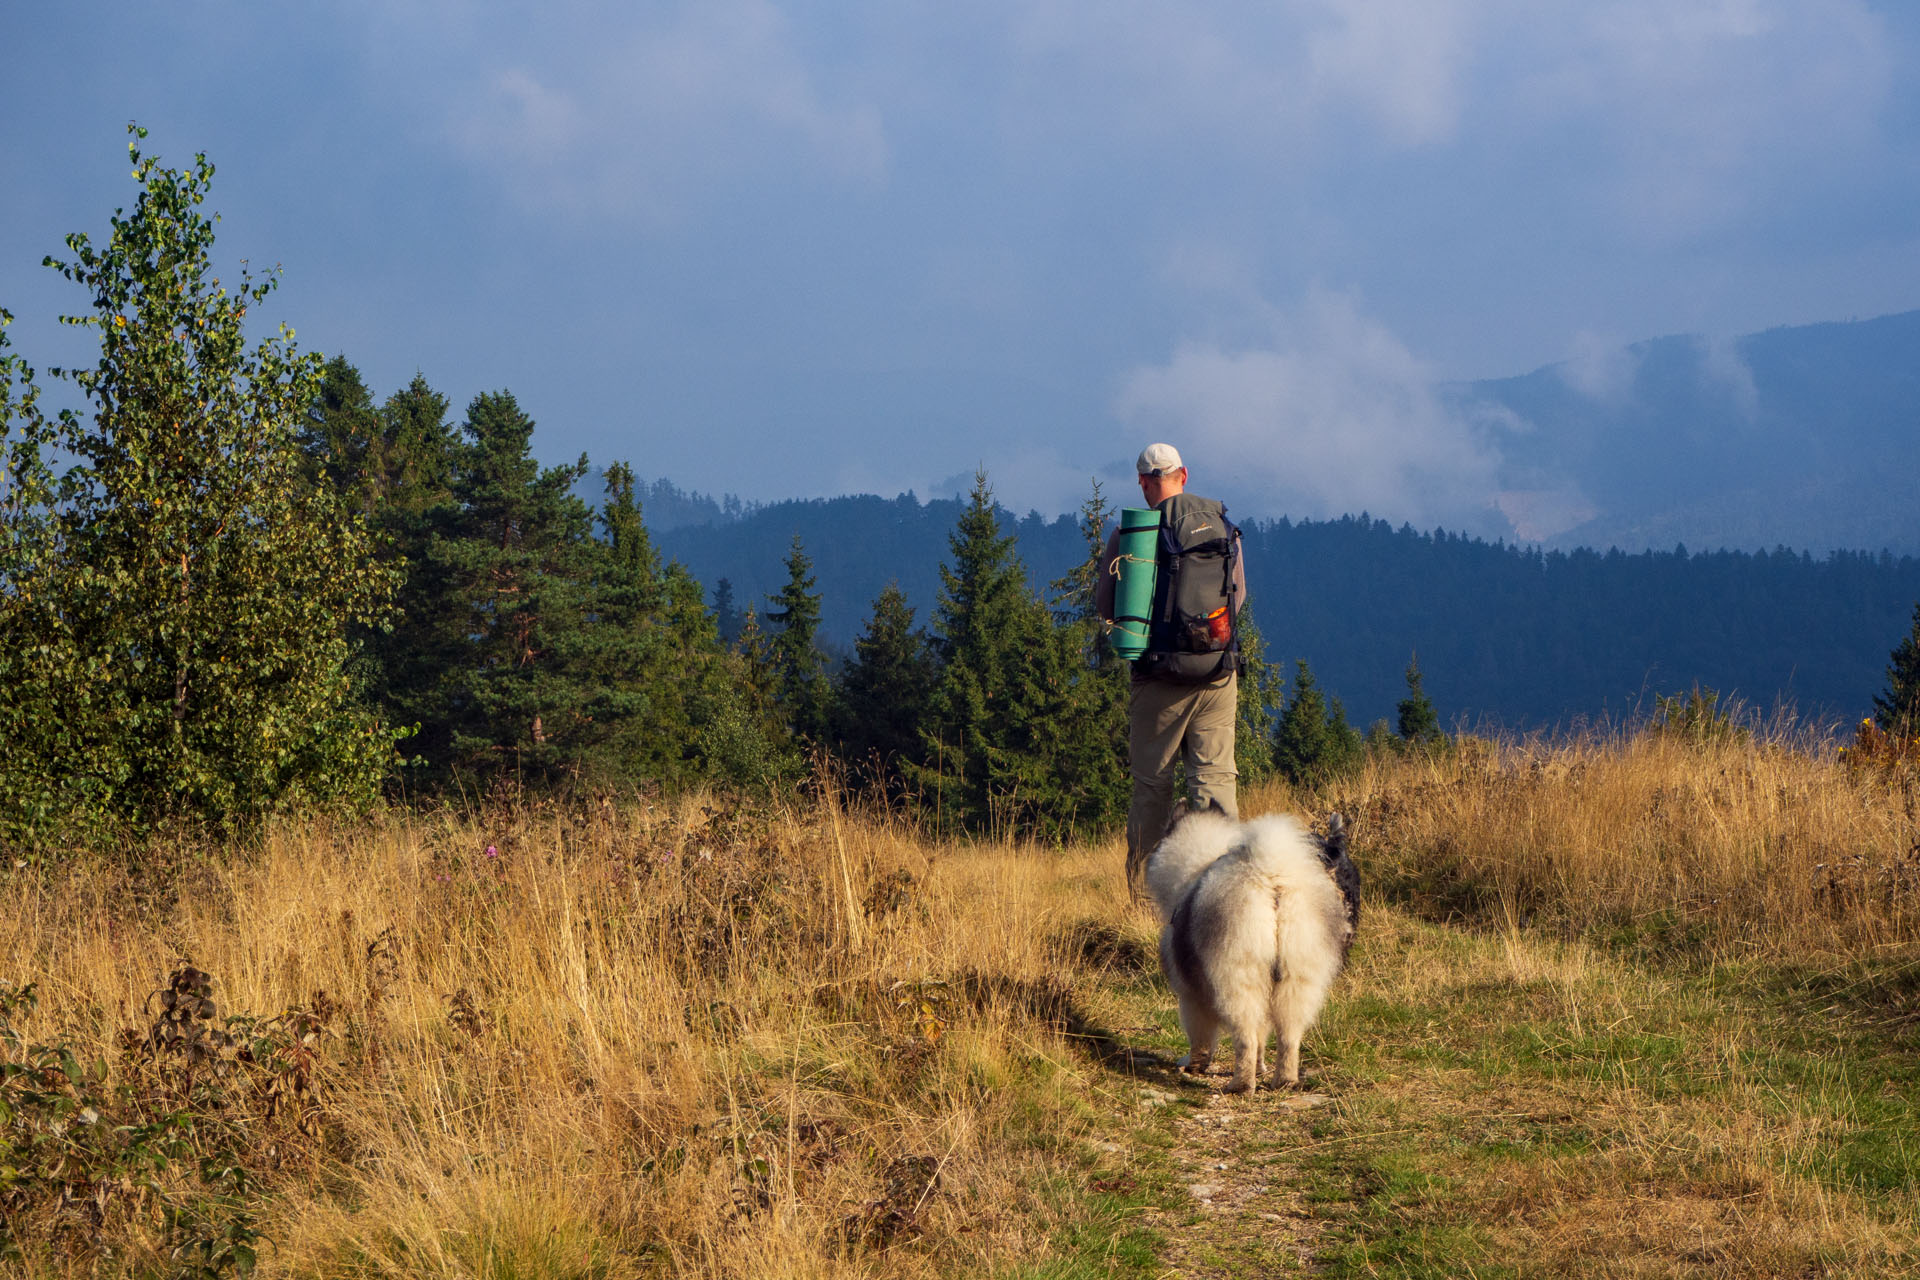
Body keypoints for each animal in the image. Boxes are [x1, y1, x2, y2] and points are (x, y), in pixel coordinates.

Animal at [1144, 809, 1359, 1090]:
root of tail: (1271, 878)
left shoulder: (1191, 996)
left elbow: (1200, 1037)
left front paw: (1193, 1065)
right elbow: (1262, 1036)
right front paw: (1260, 1066)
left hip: (1238, 976)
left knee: (1244, 1036)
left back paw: (1241, 1085)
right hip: (1297, 978)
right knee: (1288, 1037)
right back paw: (1284, 1080)